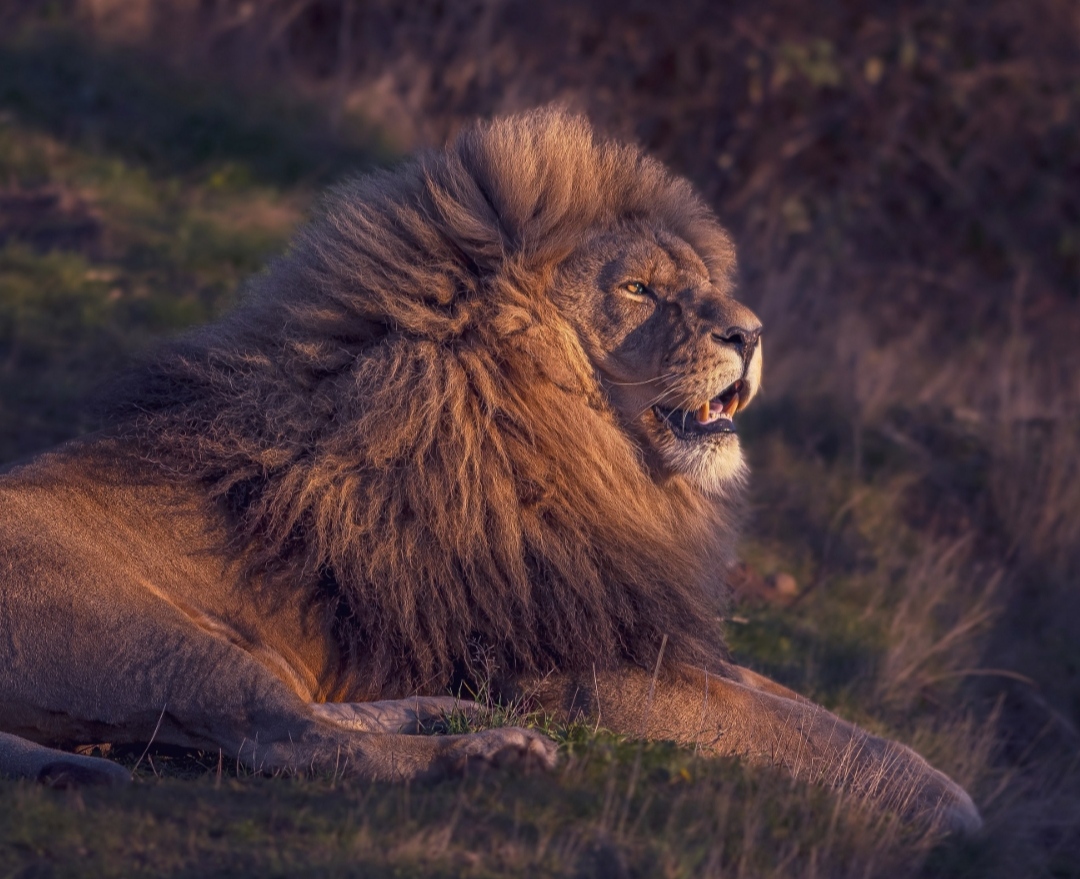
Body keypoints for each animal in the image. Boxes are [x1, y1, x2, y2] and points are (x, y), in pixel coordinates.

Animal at [0, 108, 980, 833]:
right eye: (638, 290)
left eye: (702, 284)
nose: (751, 332)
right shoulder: (579, 675)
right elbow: (805, 736)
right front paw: (959, 818)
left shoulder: (635, 631)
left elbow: (810, 712)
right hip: (145, 637)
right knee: (289, 738)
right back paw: (489, 754)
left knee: (305, 716)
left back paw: (455, 716)